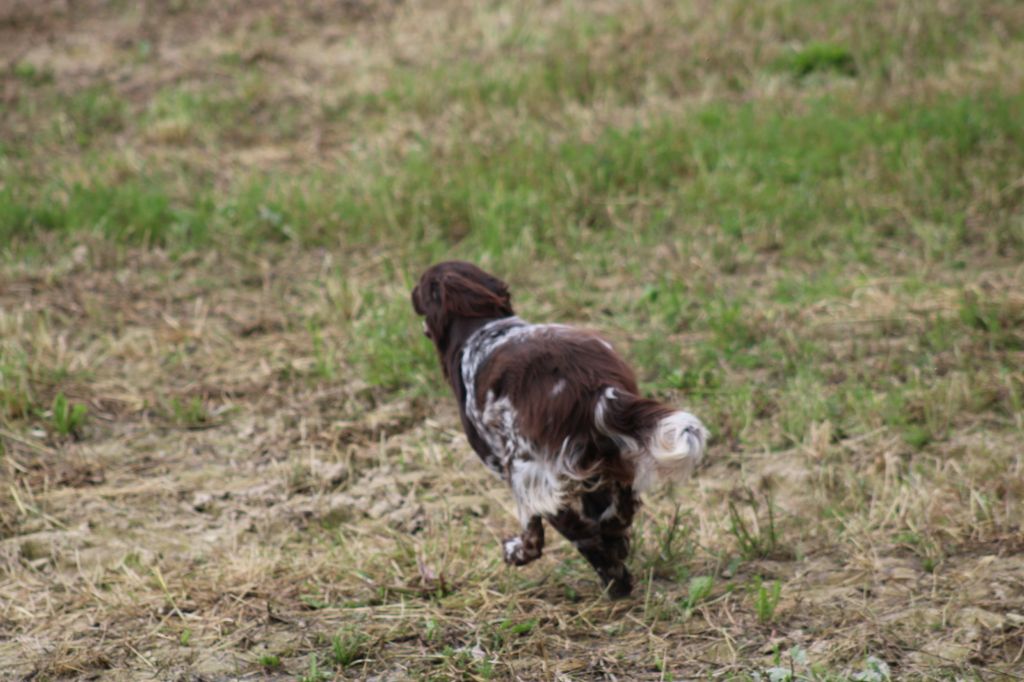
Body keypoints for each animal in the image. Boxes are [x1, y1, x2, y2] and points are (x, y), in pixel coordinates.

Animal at [411, 260, 708, 593]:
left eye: (422, 285)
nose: (410, 293)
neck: (482, 328)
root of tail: (594, 387)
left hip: (526, 468)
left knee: (567, 532)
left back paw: (609, 580)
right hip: (607, 459)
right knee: (618, 511)